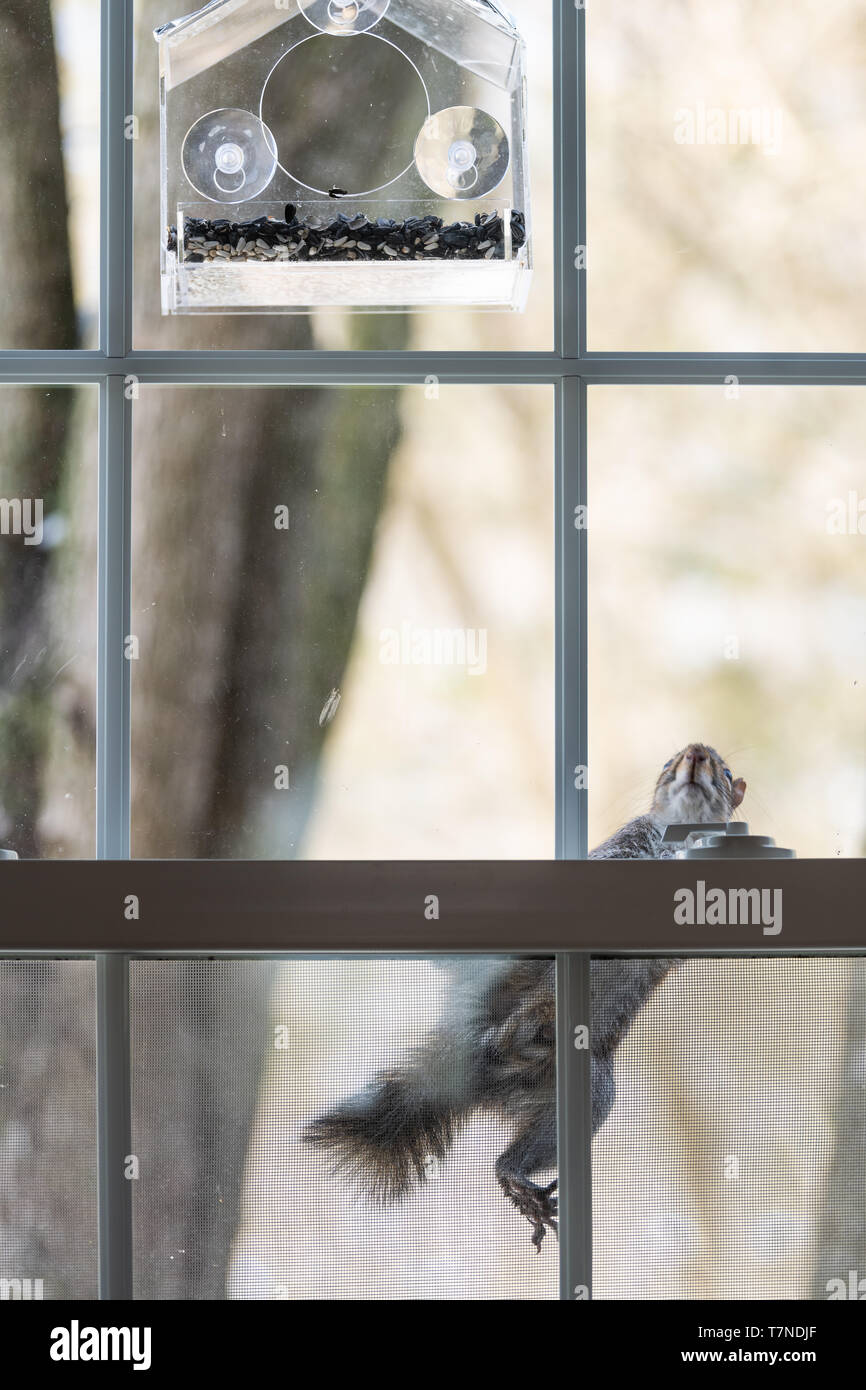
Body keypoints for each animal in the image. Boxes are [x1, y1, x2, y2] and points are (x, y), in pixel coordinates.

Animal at [303, 745, 745, 1256]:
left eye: (726, 771)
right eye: (669, 762)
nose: (696, 754)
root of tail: (477, 1073)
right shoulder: (626, 845)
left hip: (573, 1090)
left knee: (514, 1151)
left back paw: (518, 1175)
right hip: (519, 1013)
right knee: (510, 1026)